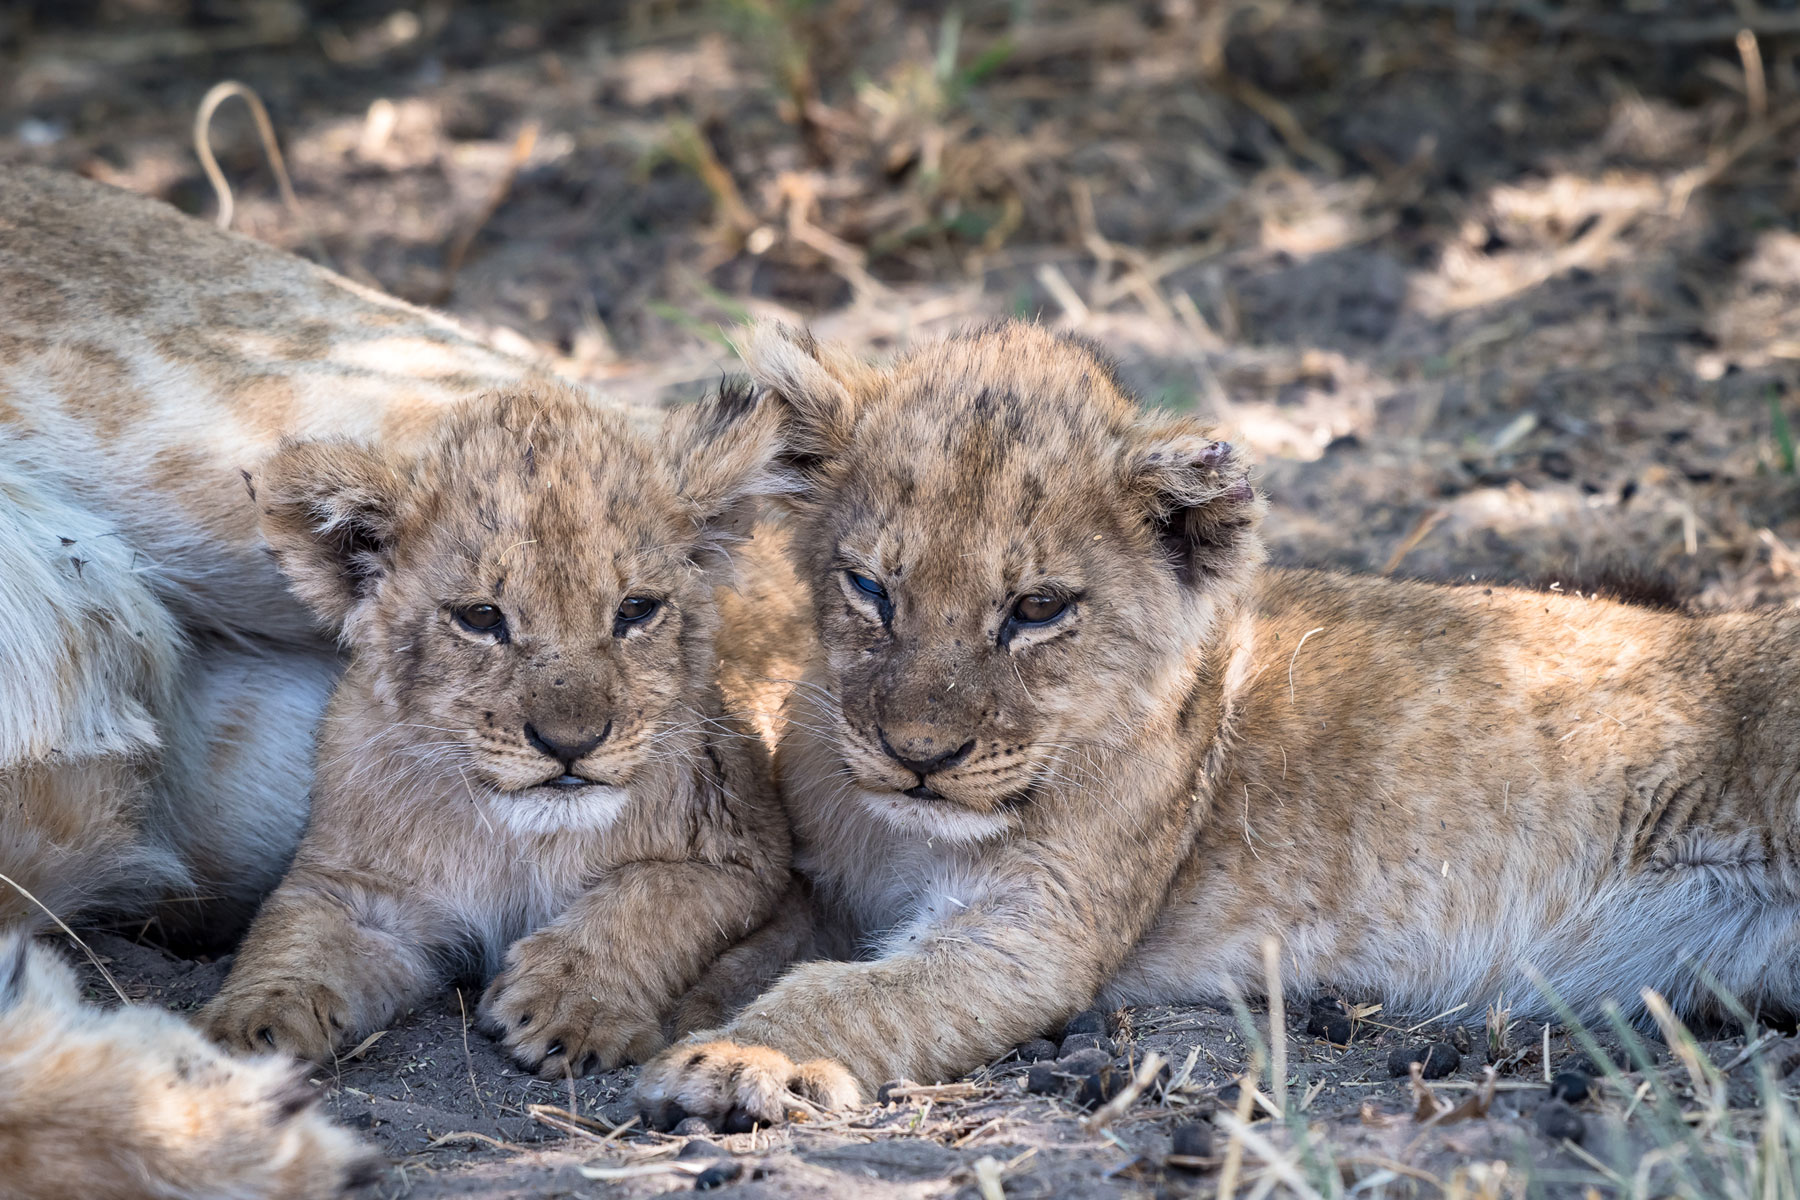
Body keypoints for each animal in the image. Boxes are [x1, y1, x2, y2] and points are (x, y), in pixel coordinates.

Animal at [202, 382, 795, 1076]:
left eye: (636, 609)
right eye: (482, 617)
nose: (571, 744)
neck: (520, 843)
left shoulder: (747, 851)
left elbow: (651, 896)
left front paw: (570, 1003)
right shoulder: (361, 889)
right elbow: (293, 933)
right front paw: (246, 1032)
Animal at [636, 320, 1800, 1126]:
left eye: (1038, 610)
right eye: (871, 589)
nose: (919, 758)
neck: (905, 834)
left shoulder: (1035, 930)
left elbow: (857, 995)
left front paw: (739, 1058)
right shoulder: (829, 886)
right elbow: (747, 940)